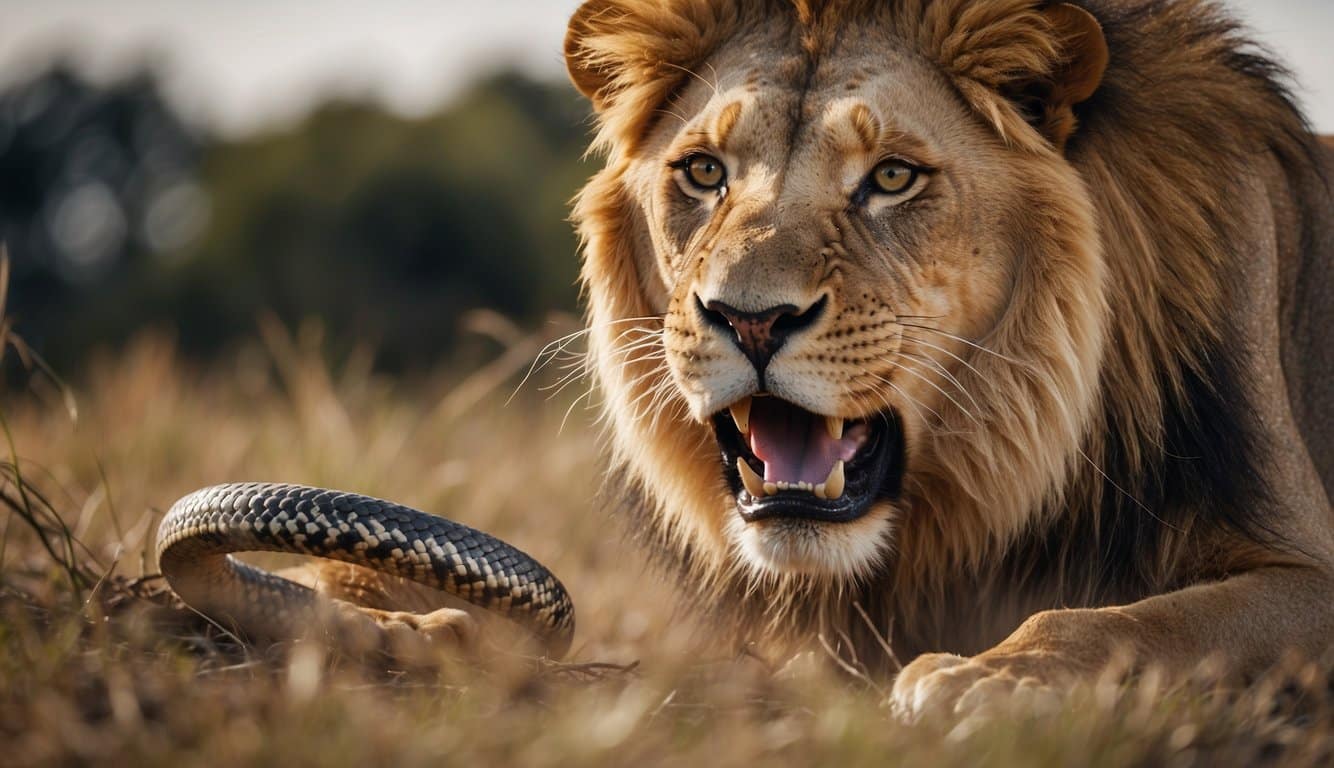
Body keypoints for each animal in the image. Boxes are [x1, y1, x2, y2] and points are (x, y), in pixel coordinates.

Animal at [561, 0, 1334, 717]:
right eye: (703, 171)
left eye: (893, 177)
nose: (751, 319)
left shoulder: (1307, 570)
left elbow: (1139, 621)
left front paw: (989, 676)